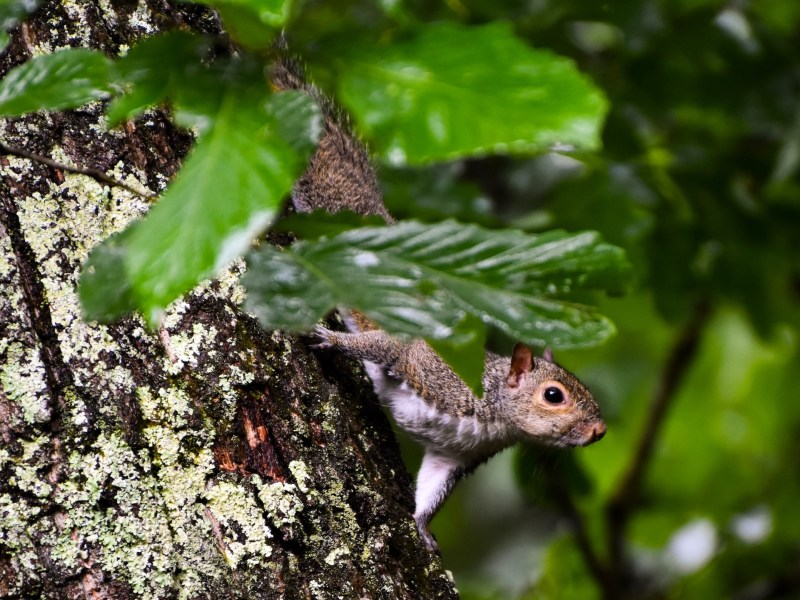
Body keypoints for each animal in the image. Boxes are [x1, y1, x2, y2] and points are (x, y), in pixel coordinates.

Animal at [271, 55, 607, 552]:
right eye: (554, 395)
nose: (599, 431)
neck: (495, 413)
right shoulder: (429, 368)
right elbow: (387, 348)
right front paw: (327, 338)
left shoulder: (453, 454)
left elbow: (433, 488)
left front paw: (422, 527)